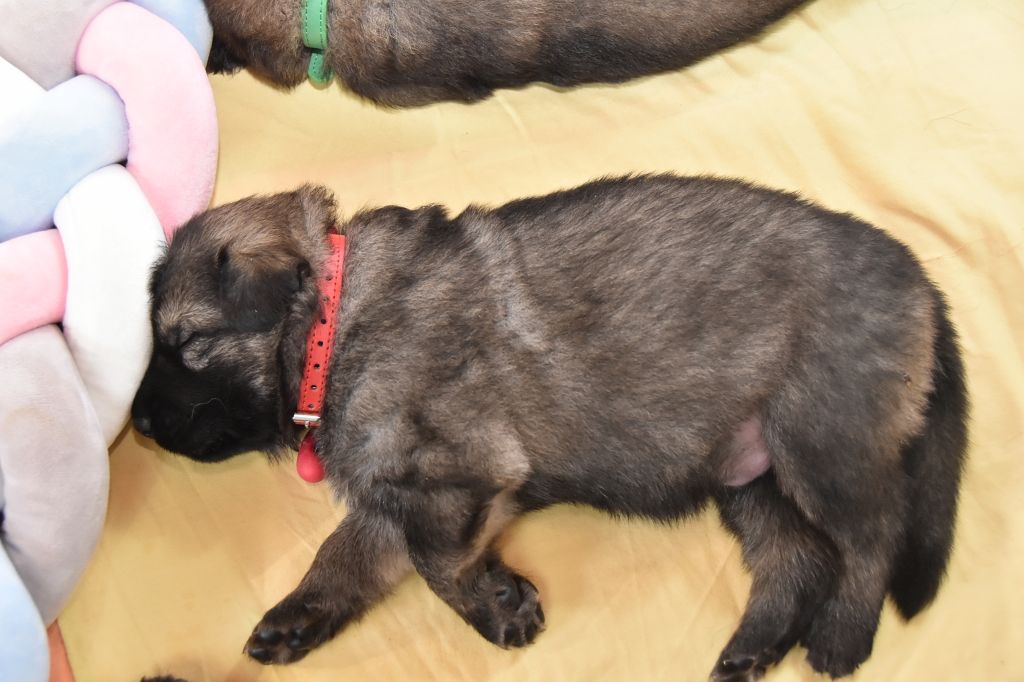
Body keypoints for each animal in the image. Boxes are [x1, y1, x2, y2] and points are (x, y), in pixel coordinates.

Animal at [131, 175, 967, 680]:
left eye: (184, 342)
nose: (135, 423)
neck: (331, 326)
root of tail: (921, 278)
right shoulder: (400, 487)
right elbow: (349, 552)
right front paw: (298, 616)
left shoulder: (459, 471)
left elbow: (437, 564)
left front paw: (499, 606)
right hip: (748, 471)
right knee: (796, 560)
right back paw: (752, 648)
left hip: (820, 437)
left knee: (872, 537)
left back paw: (842, 637)